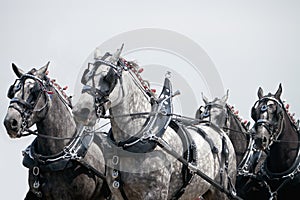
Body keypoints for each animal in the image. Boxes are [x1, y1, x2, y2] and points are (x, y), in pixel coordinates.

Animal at [72, 46, 239, 200]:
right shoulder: (117, 193)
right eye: (86, 76)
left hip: (220, 192)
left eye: (108, 76)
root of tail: (218, 130)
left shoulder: (155, 194)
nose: (81, 111)